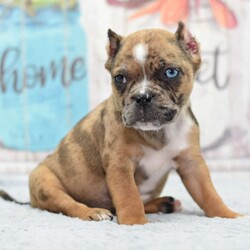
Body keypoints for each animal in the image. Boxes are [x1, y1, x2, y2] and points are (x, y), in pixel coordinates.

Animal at [1, 22, 240, 225]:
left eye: (171, 72)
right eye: (120, 79)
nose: (142, 97)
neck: (158, 132)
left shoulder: (192, 163)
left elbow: (208, 193)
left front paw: (229, 215)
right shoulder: (120, 164)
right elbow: (128, 196)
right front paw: (136, 223)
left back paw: (164, 204)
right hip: (46, 183)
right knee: (69, 204)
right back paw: (94, 212)